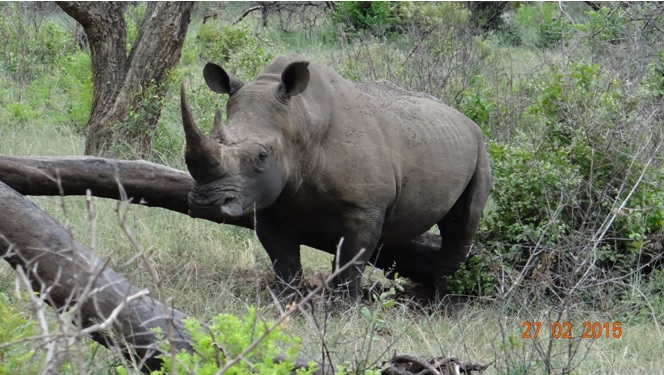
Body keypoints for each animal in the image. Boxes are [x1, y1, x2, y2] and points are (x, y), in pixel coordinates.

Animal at [179, 54, 490, 300]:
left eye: (262, 156)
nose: (206, 203)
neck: (301, 121)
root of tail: (464, 118)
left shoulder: (363, 208)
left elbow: (350, 263)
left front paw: (345, 310)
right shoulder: (267, 200)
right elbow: (284, 262)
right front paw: (285, 302)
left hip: (479, 147)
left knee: (462, 225)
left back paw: (447, 307)